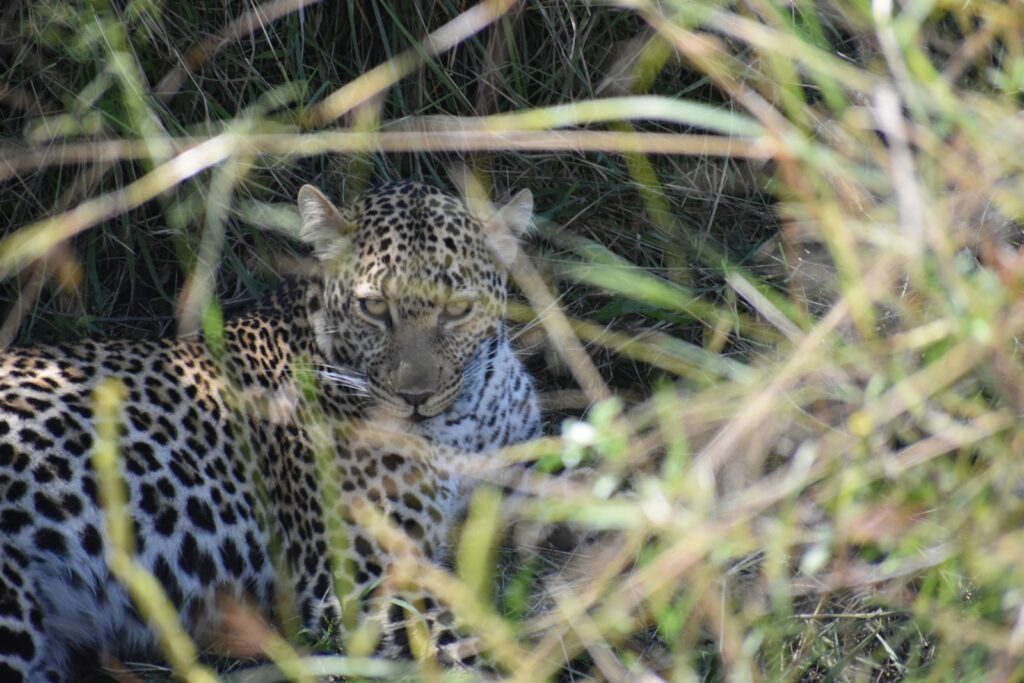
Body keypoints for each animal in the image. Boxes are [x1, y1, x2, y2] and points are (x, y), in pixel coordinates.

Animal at [0, 179, 544, 679]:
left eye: (458, 309)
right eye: (373, 308)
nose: (416, 397)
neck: (466, 421)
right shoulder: (361, 580)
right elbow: (480, 645)